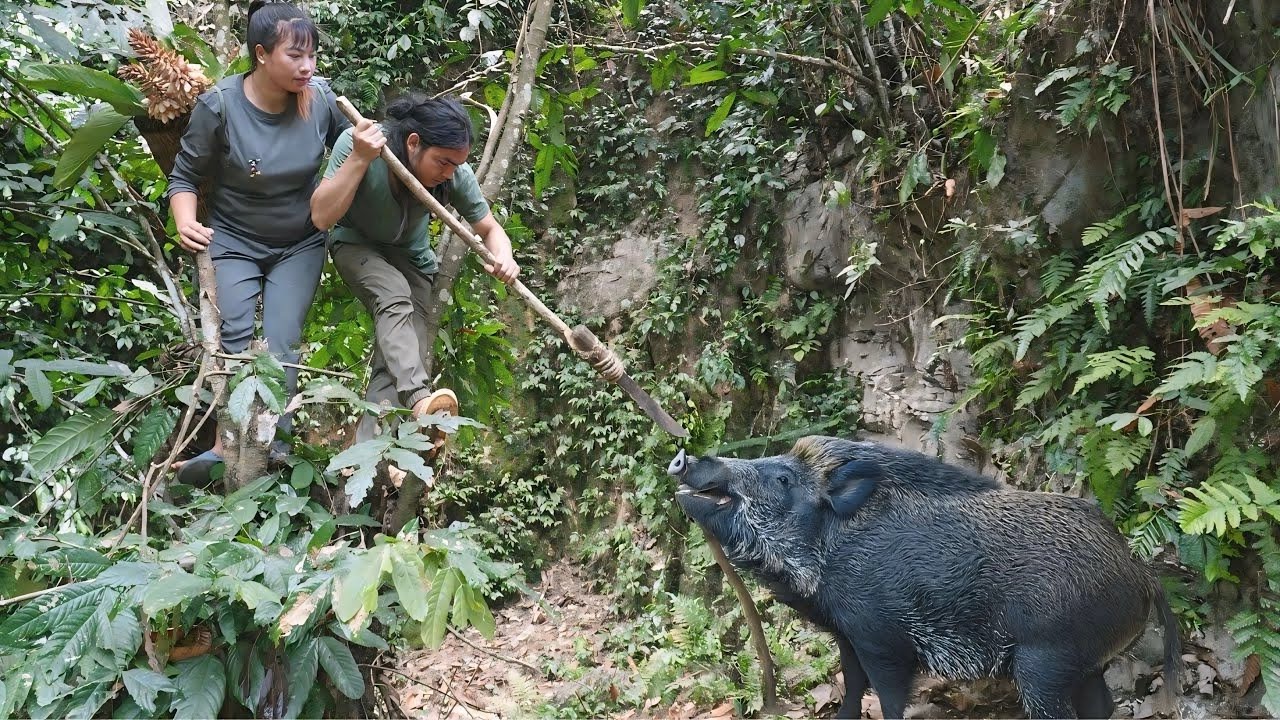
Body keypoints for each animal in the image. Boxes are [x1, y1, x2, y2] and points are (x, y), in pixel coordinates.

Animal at [669, 436, 1181, 719]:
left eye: (782, 479)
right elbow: (851, 684)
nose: (684, 458)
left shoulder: (884, 639)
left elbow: (889, 698)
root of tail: (1139, 572)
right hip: (1084, 659)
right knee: (1102, 707)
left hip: (1045, 661)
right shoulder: (847, 635)